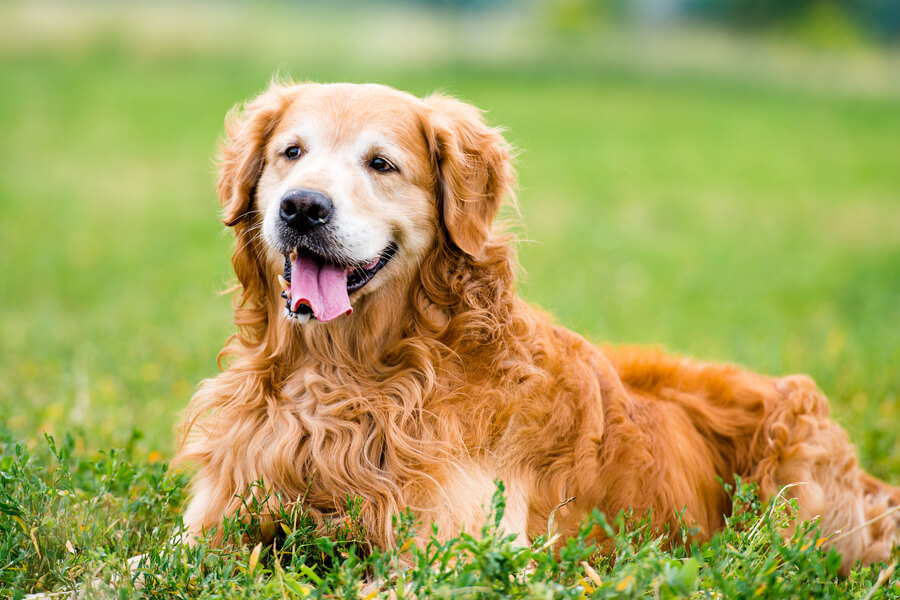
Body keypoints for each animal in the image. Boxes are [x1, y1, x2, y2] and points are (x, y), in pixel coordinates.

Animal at [172, 79, 896, 572]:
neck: (345, 377)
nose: (302, 207)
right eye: (291, 153)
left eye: (381, 164)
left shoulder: (454, 552)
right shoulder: (209, 522)